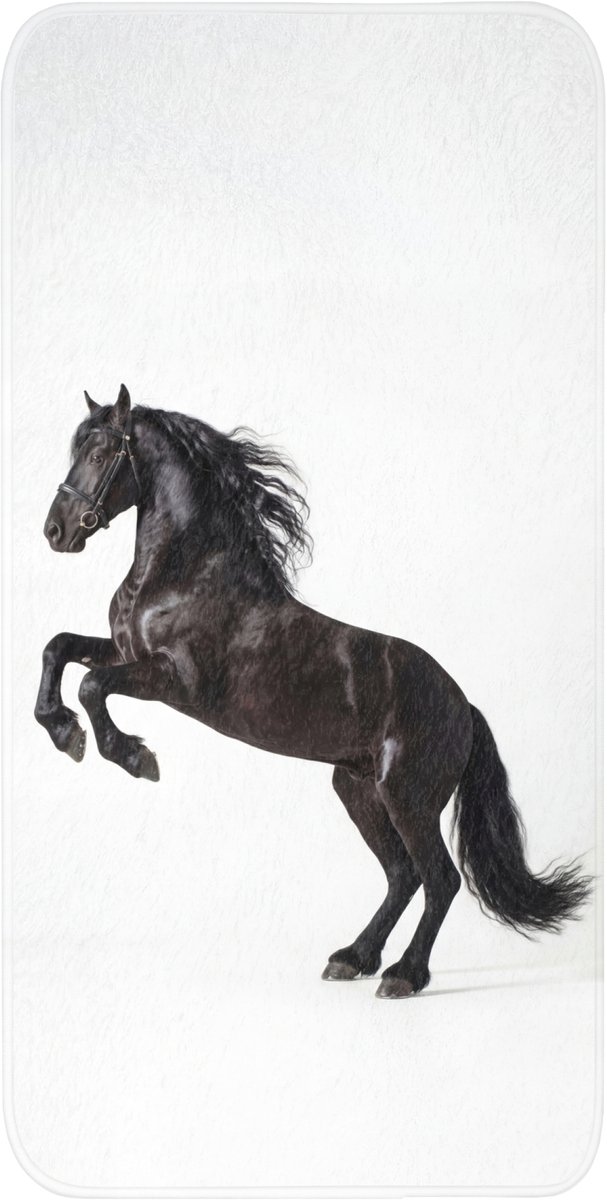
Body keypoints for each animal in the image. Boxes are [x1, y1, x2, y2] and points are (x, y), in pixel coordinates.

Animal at [36, 384, 591, 998]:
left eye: (100, 453)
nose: (56, 532)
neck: (184, 575)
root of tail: (464, 707)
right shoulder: (124, 652)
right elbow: (59, 649)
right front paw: (63, 732)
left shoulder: (173, 680)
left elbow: (91, 684)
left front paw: (134, 757)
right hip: (357, 789)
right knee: (402, 875)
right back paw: (352, 958)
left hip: (408, 795)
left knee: (439, 878)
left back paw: (403, 975)